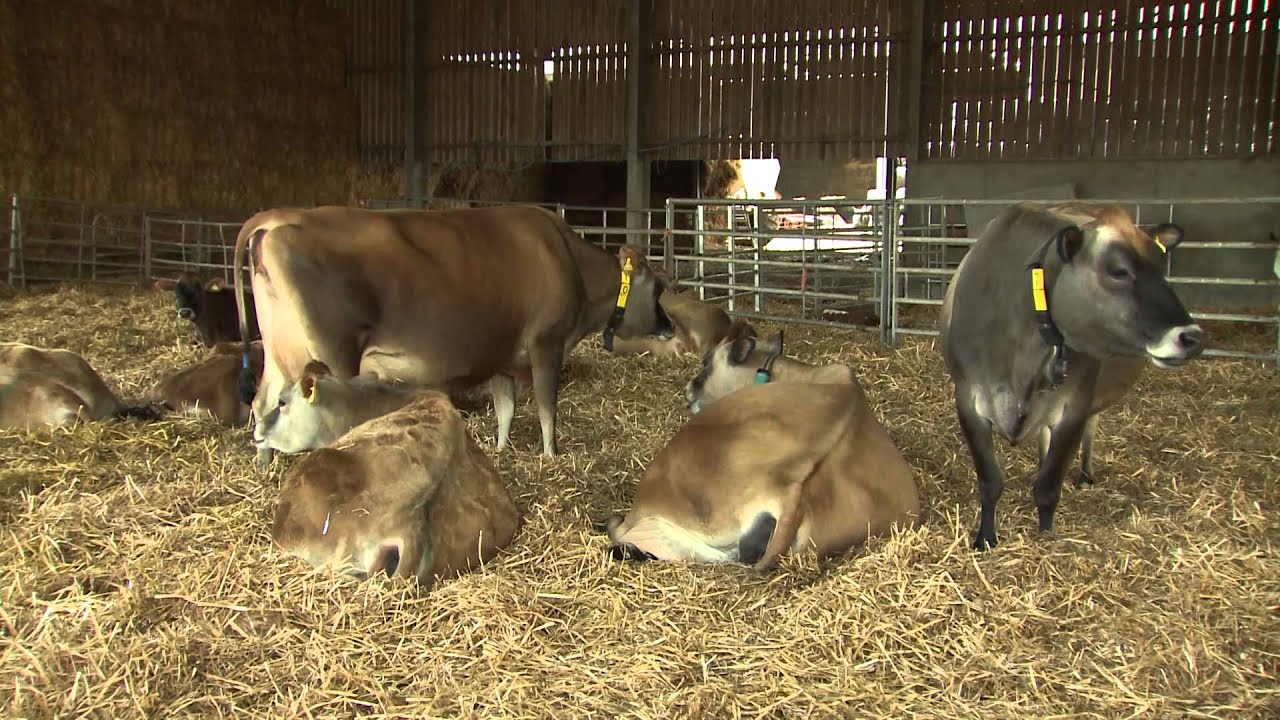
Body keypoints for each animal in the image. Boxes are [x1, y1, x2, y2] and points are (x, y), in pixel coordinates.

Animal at [940, 202, 1205, 551]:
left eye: (1163, 268)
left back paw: (1085, 474)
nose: (1192, 337)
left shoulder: (1074, 405)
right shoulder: (968, 399)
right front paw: (984, 539)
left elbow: (1048, 488)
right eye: (1118, 271)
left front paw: (1045, 538)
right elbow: (989, 481)